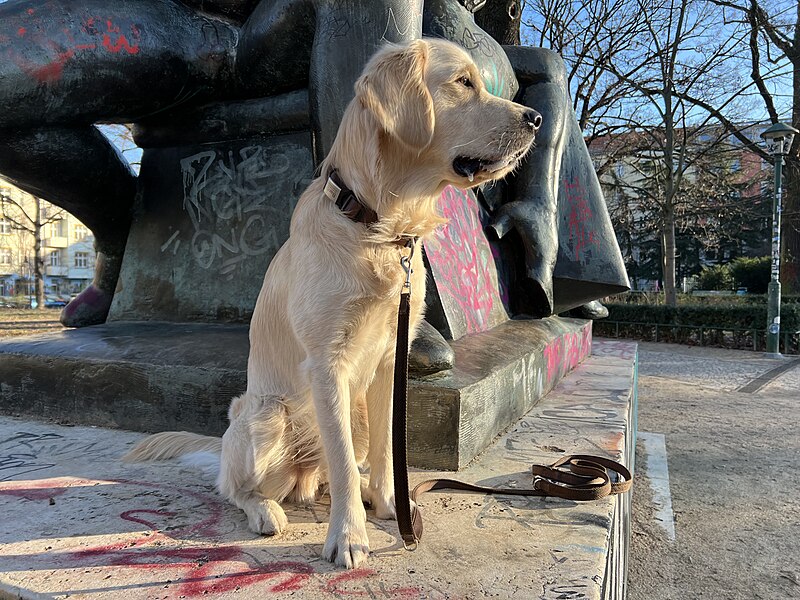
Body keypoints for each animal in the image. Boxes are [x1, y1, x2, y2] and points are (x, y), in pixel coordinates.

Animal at [125, 37, 536, 568]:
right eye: (464, 82)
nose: (535, 118)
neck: (377, 227)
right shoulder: (328, 364)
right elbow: (339, 460)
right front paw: (348, 535)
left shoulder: (389, 360)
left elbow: (385, 448)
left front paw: (389, 503)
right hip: (264, 416)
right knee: (237, 487)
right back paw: (266, 511)